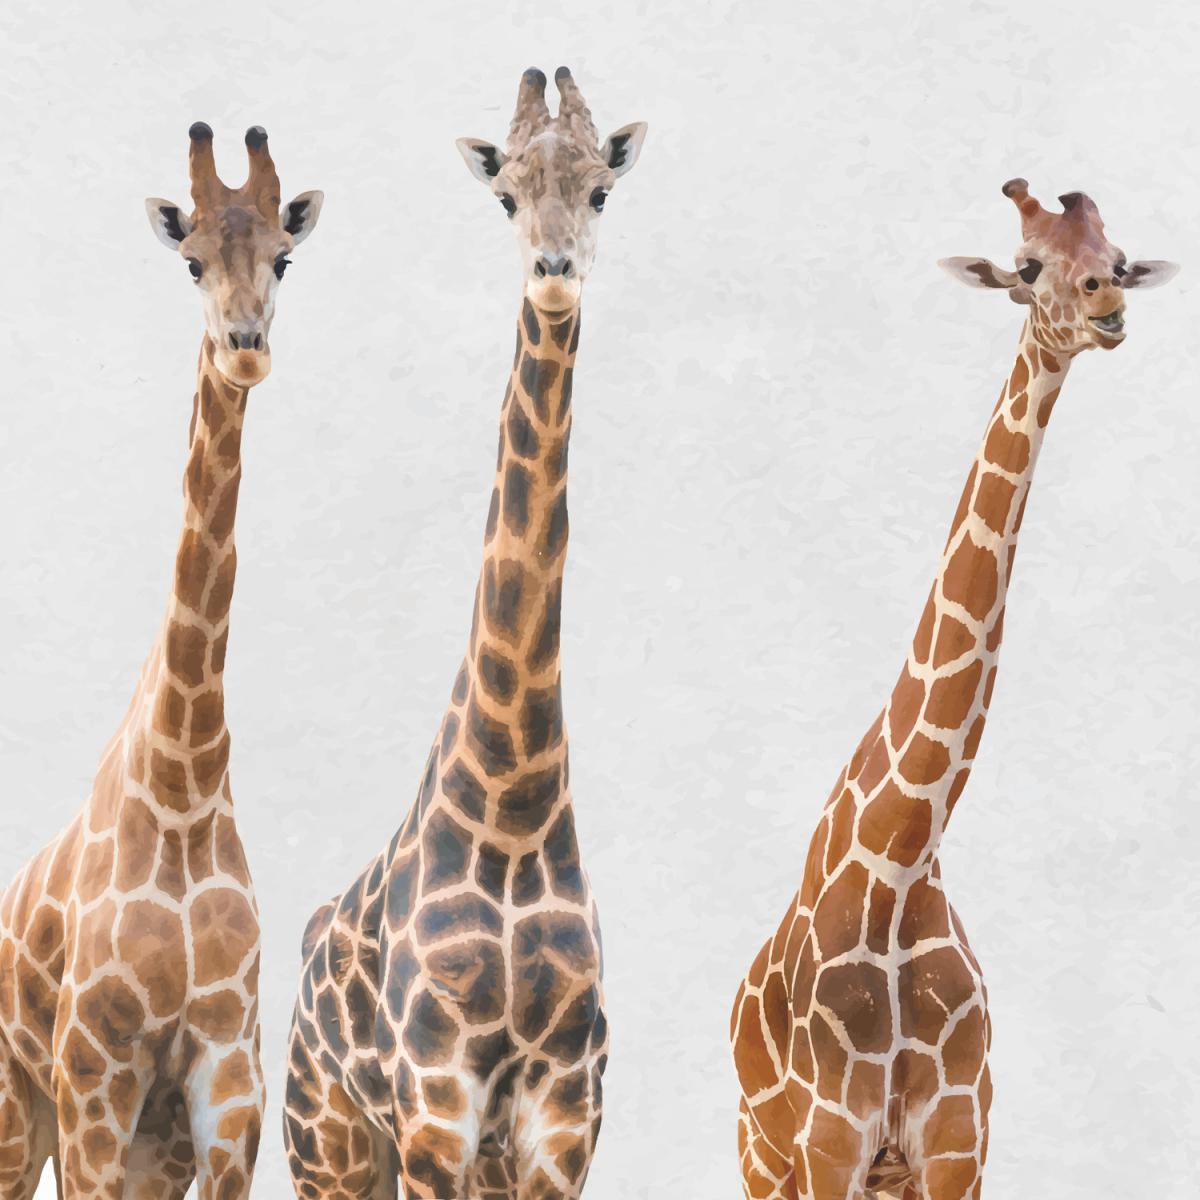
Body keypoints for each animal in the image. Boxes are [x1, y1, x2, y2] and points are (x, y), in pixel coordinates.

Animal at [0, 123, 323, 1199]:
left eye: (284, 257)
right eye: (190, 262)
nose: (246, 348)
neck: (182, 784)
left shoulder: (227, 1082)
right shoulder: (95, 1073)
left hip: (149, 1142)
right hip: (23, 1108)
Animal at [282, 67, 645, 1200]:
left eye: (600, 190)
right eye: (504, 198)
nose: (554, 271)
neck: (515, 799)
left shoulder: (564, 1106)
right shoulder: (438, 1100)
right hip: (327, 1136)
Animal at [729, 179, 1177, 1200]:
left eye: (1117, 257)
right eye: (1026, 267)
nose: (1105, 302)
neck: (899, 865)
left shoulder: (959, 1139)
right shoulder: (829, 1145)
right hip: (760, 1154)